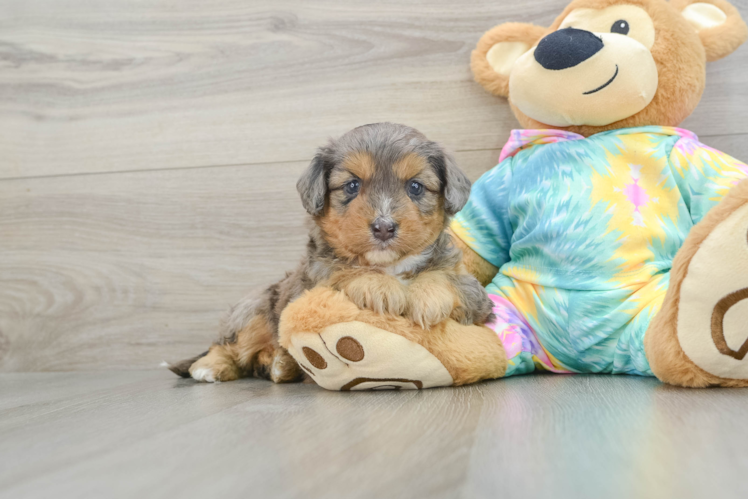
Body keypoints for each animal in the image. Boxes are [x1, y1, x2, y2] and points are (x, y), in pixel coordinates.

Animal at [171, 121, 496, 382]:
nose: (384, 227)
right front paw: (378, 286)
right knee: (228, 347)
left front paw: (428, 297)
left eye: (415, 187)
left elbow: (446, 278)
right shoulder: (310, 283)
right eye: (352, 185)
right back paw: (213, 366)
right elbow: (342, 270)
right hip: (255, 312)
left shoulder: (476, 297)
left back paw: (280, 365)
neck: (390, 266)